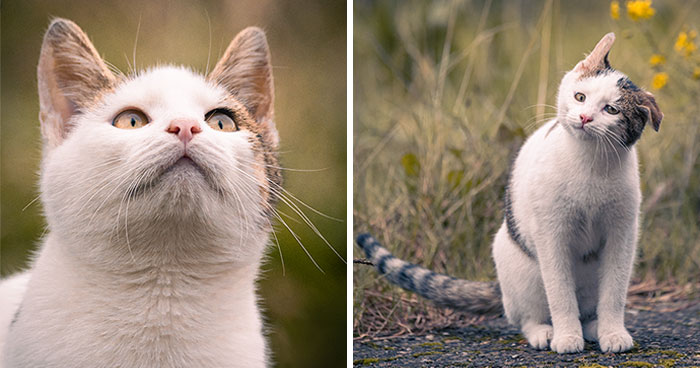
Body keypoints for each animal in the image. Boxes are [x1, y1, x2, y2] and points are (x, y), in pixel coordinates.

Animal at [356, 33, 660, 356]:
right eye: (580, 97)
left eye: (611, 110)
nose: (584, 117)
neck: (590, 163)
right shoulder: (551, 233)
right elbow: (560, 294)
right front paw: (566, 337)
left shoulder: (622, 232)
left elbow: (614, 292)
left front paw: (613, 333)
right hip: (521, 268)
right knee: (526, 315)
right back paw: (545, 331)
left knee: (590, 306)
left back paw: (593, 327)